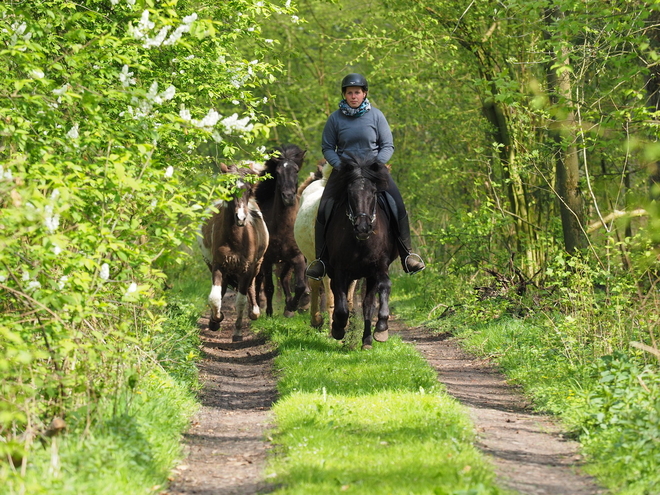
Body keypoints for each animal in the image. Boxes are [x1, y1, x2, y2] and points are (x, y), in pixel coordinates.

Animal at [197, 163, 270, 340]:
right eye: (229, 188)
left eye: (249, 190)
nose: (241, 218)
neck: (235, 239)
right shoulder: (218, 265)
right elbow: (215, 297)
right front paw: (216, 319)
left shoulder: (246, 268)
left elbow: (241, 301)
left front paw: (237, 331)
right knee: (221, 289)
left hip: (256, 265)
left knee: (250, 287)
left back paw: (254, 312)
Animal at [255, 143, 310, 318]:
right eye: (278, 172)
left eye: (296, 171)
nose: (288, 197)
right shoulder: (267, 259)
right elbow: (269, 287)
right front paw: (269, 313)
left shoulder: (297, 257)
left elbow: (299, 285)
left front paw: (293, 305)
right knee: (260, 281)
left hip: (288, 261)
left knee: (285, 279)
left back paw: (289, 307)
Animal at [324, 154, 398, 348]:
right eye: (350, 193)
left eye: (373, 192)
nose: (363, 228)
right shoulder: (340, 270)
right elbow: (341, 306)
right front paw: (338, 328)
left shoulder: (380, 266)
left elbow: (385, 287)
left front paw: (381, 328)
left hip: (369, 276)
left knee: (368, 305)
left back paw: (367, 340)